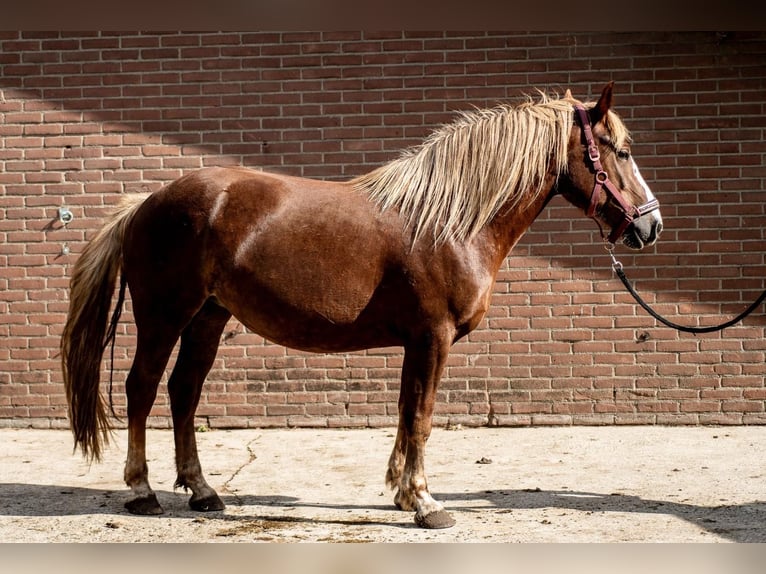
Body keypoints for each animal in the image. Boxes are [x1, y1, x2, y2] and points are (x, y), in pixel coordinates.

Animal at [61, 82, 663, 529]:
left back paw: (204, 490)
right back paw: (142, 490)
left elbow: (405, 412)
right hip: (164, 314)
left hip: (208, 317)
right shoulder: (433, 338)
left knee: (184, 392)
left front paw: (402, 493)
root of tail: (147, 203)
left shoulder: (417, 342)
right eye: (622, 151)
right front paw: (427, 503)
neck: (450, 219)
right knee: (141, 389)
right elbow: (421, 417)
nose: (651, 226)